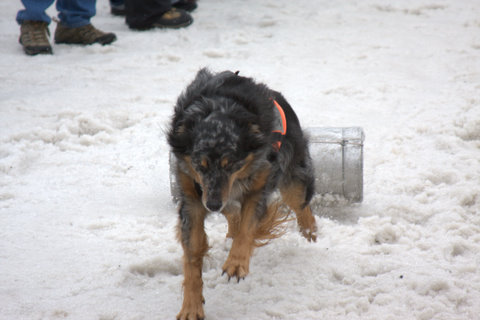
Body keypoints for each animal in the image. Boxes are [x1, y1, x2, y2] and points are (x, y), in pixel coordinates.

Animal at [167, 69, 316, 318]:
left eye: (231, 165)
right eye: (200, 166)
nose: (213, 205)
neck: (219, 109)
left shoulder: (260, 183)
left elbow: (248, 226)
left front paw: (236, 263)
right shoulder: (192, 196)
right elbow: (193, 252)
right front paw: (191, 305)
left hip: (291, 170)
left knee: (300, 202)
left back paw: (309, 234)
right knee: (232, 214)